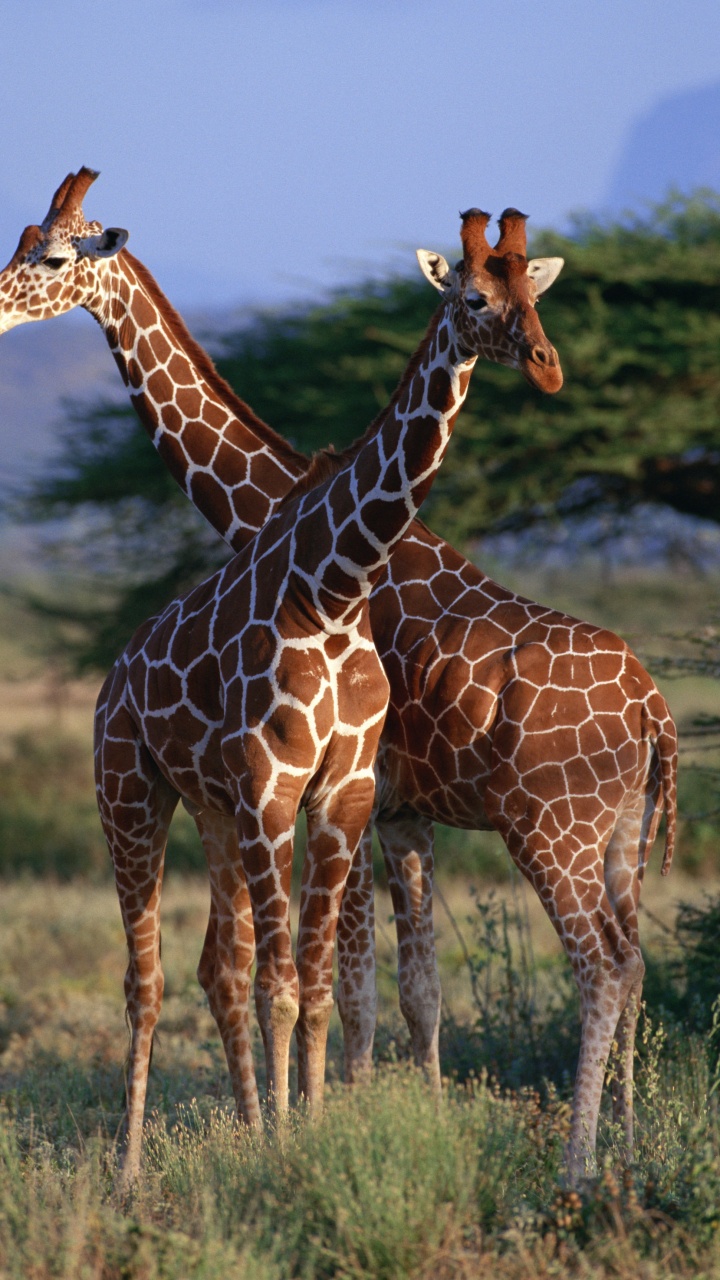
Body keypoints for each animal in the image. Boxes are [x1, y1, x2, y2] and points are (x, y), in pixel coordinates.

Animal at [0, 170, 676, 1180]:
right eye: (23, 244)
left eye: (47, 257)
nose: (549, 365)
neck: (280, 517)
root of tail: (656, 707)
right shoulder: (387, 811)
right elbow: (403, 992)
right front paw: (386, 1123)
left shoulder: (364, 796)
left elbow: (357, 989)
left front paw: (342, 1128)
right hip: (619, 830)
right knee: (631, 962)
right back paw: (627, 1147)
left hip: (552, 825)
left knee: (601, 966)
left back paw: (579, 1165)